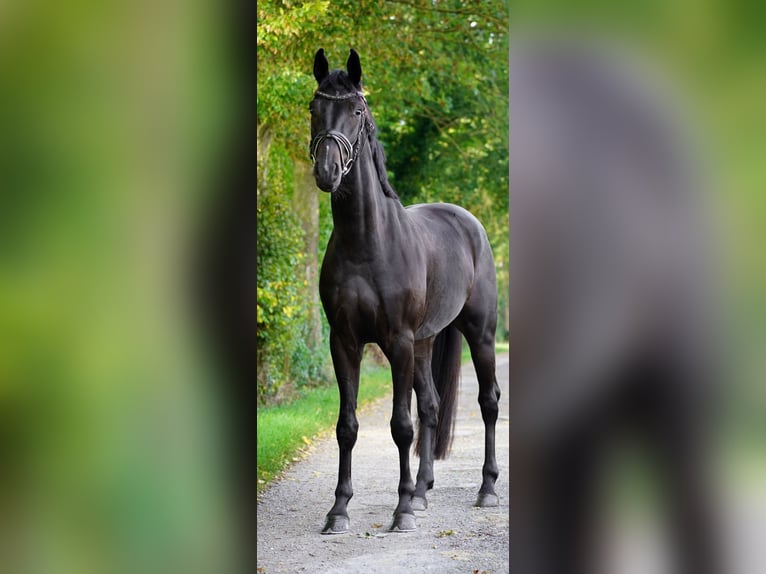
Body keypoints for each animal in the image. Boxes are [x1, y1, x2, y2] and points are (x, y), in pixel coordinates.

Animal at [312, 49, 504, 536]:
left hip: (479, 334)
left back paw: (486, 490)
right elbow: (347, 426)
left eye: (356, 111)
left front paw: (399, 514)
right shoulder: (344, 342)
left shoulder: (396, 340)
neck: (367, 243)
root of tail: (468, 222)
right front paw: (339, 510)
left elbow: (401, 425)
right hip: (424, 343)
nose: (327, 170)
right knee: (433, 407)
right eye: (314, 108)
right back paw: (420, 492)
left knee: (488, 402)